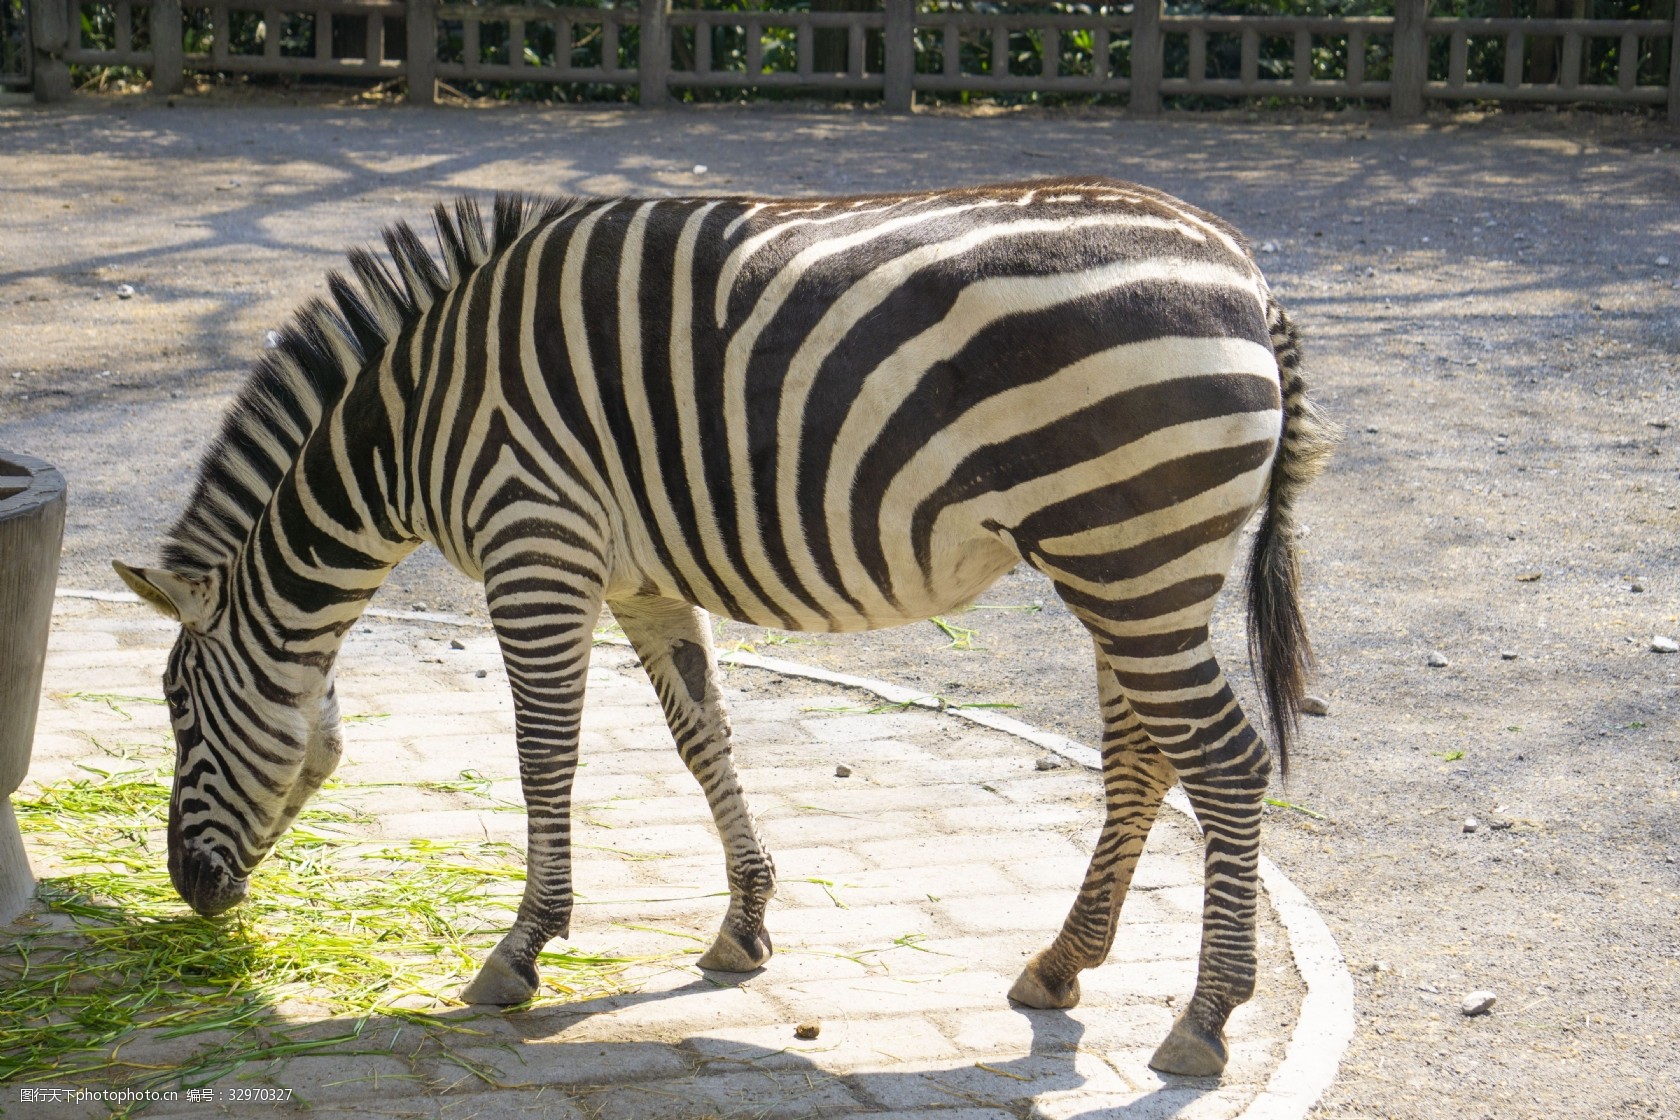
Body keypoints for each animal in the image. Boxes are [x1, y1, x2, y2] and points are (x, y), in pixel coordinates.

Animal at [111, 182, 1330, 1074]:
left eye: (176, 710)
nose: (189, 892)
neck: (410, 428)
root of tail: (1244, 272)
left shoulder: (535, 543)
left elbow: (544, 752)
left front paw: (521, 950)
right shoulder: (639, 574)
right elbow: (703, 735)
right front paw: (745, 925)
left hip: (1128, 548)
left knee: (1225, 760)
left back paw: (1204, 1018)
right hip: (1128, 564)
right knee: (1144, 757)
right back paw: (1063, 961)